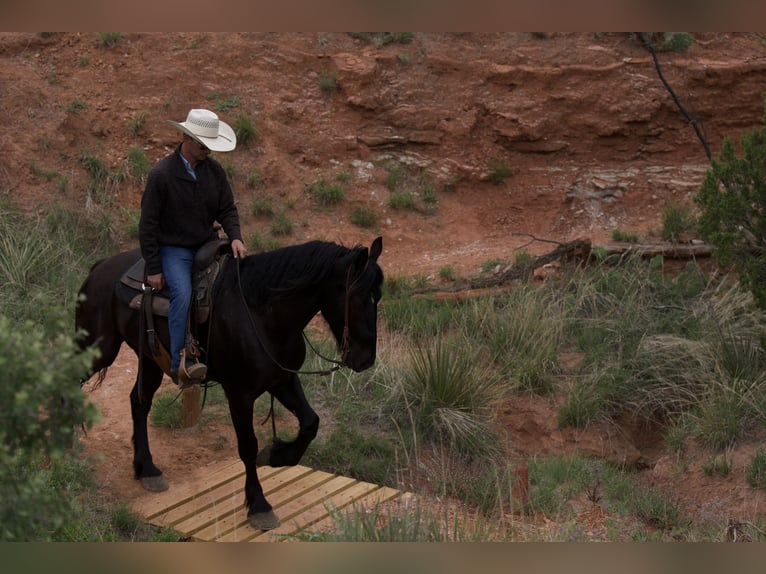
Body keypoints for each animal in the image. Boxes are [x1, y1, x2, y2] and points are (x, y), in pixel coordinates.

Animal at [76, 236, 384, 528]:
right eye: (359, 297)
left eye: (378, 297)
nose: (366, 359)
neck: (263, 315)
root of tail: (100, 268)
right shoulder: (239, 394)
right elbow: (247, 446)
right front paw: (259, 505)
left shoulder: (283, 380)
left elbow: (311, 422)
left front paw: (277, 455)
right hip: (97, 349)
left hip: (150, 359)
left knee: (138, 403)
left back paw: (147, 469)